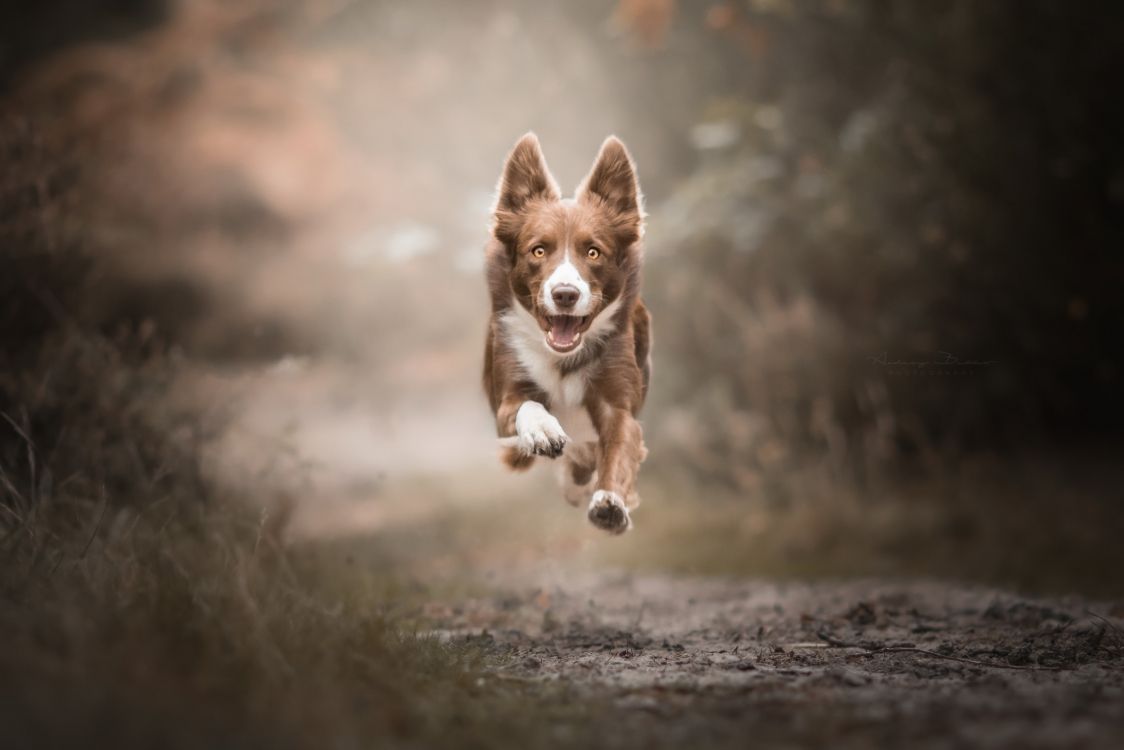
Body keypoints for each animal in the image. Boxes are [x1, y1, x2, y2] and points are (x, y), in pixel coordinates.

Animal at [481, 133, 651, 532]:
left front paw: (610, 501)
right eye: (538, 250)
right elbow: (527, 405)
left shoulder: (618, 404)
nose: (565, 294)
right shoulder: (506, 400)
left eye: (593, 253)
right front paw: (543, 430)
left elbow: (619, 447)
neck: (562, 357)